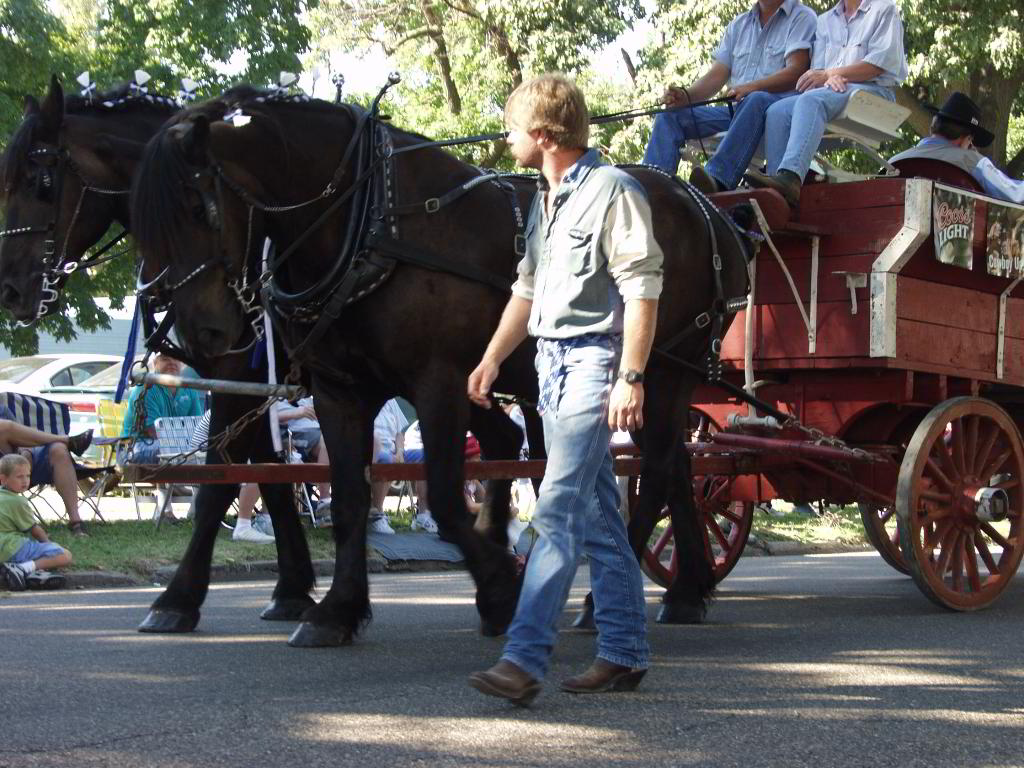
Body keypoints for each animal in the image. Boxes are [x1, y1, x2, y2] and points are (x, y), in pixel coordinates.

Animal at [0, 76, 318, 631]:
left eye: (41, 182)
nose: (11, 290)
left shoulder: (237, 375)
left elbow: (220, 480)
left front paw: (177, 599)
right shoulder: (245, 384)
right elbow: (271, 478)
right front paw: (293, 590)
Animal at [130, 84, 750, 648]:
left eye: (199, 209)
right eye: (144, 227)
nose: (205, 333)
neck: (369, 222)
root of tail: (702, 206)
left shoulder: (438, 382)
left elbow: (448, 499)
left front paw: (499, 591)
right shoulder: (337, 389)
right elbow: (344, 499)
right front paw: (335, 610)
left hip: (660, 373)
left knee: (659, 471)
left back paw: (611, 599)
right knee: (672, 466)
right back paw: (683, 590)